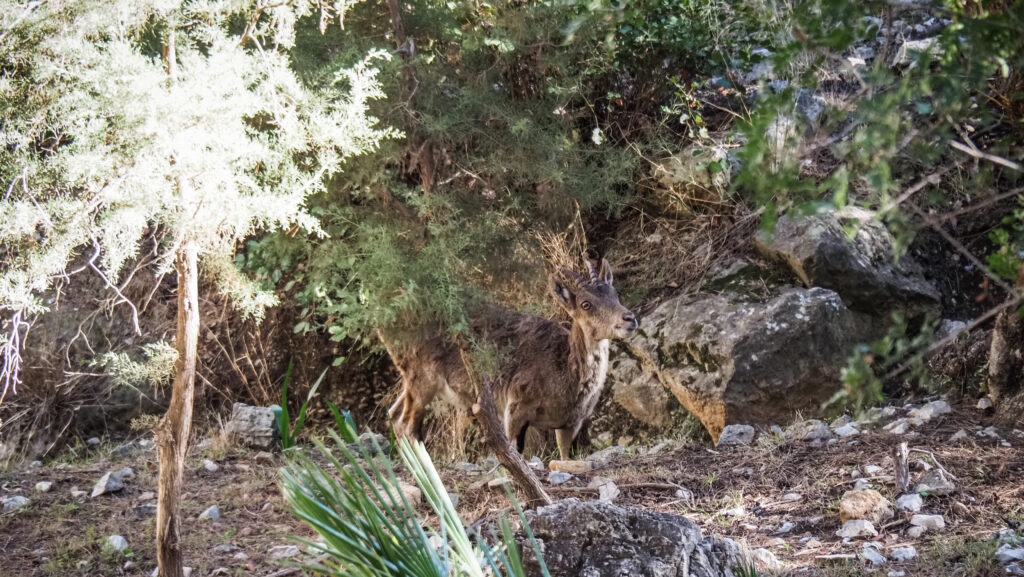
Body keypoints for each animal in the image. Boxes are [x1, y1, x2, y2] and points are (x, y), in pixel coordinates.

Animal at [385, 258, 638, 461]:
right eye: (586, 304)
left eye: (615, 295)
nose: (629, 319)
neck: (564, 371)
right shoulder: (516, 406)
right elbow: (515, 449)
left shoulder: (570, 423)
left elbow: (565, 456)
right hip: (422, 377)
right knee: (407, 423)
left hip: (411, 380)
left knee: (394, 414)